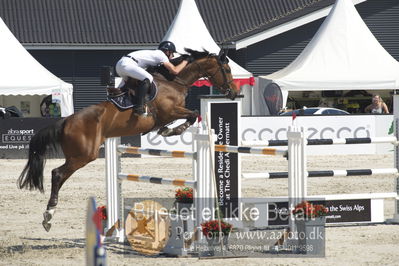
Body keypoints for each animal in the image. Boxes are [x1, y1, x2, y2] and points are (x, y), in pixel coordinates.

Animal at [17, 48, 239, 232]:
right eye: (227, 69)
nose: (235, 93)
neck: (174, 82)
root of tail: (66, 121)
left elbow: (188, 116)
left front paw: (166, 130)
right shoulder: (170, 111)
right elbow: (193, 114)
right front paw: (173, 131)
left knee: (59, 174)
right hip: (83, 155)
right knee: (57, 174)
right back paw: (48, 215)